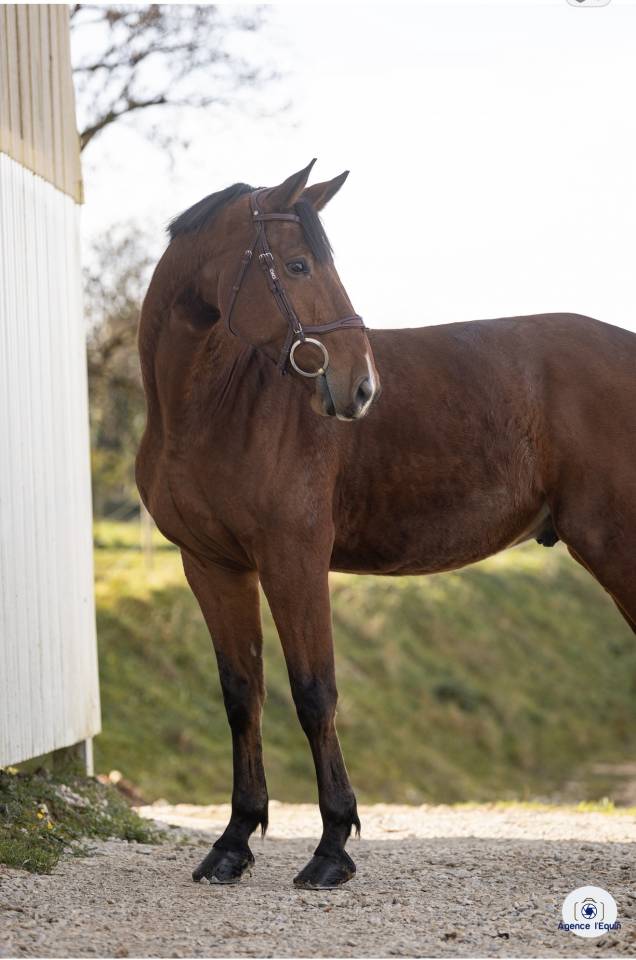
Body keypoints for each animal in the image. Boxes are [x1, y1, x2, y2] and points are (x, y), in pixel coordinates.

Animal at [136, 159, 636, 890]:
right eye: (297, 264)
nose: (359, 386)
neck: (215, 407)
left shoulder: (293, 560)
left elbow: (314, 693)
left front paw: (331, 847)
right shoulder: (212, 565)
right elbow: (241, 695)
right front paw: (232, 842)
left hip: (617, 546)